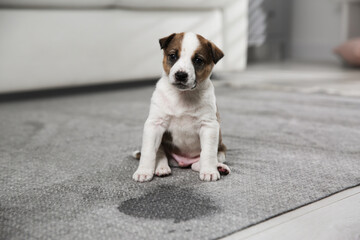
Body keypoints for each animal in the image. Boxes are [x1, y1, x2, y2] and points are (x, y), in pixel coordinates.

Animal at [133, 31, 231, 182]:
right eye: (173, 56)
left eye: (198, 60)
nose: (181, 75)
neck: (182, 95)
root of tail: (183, 161)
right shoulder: (154, 124)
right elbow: (148, 152)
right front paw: (143, 171)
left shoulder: (209, 126)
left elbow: (208, 153)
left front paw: (209, 171)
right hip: (161, 143)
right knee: (160, 155)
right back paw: (162, 168)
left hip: (220, 149)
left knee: (201, 161)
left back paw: (219, 167)